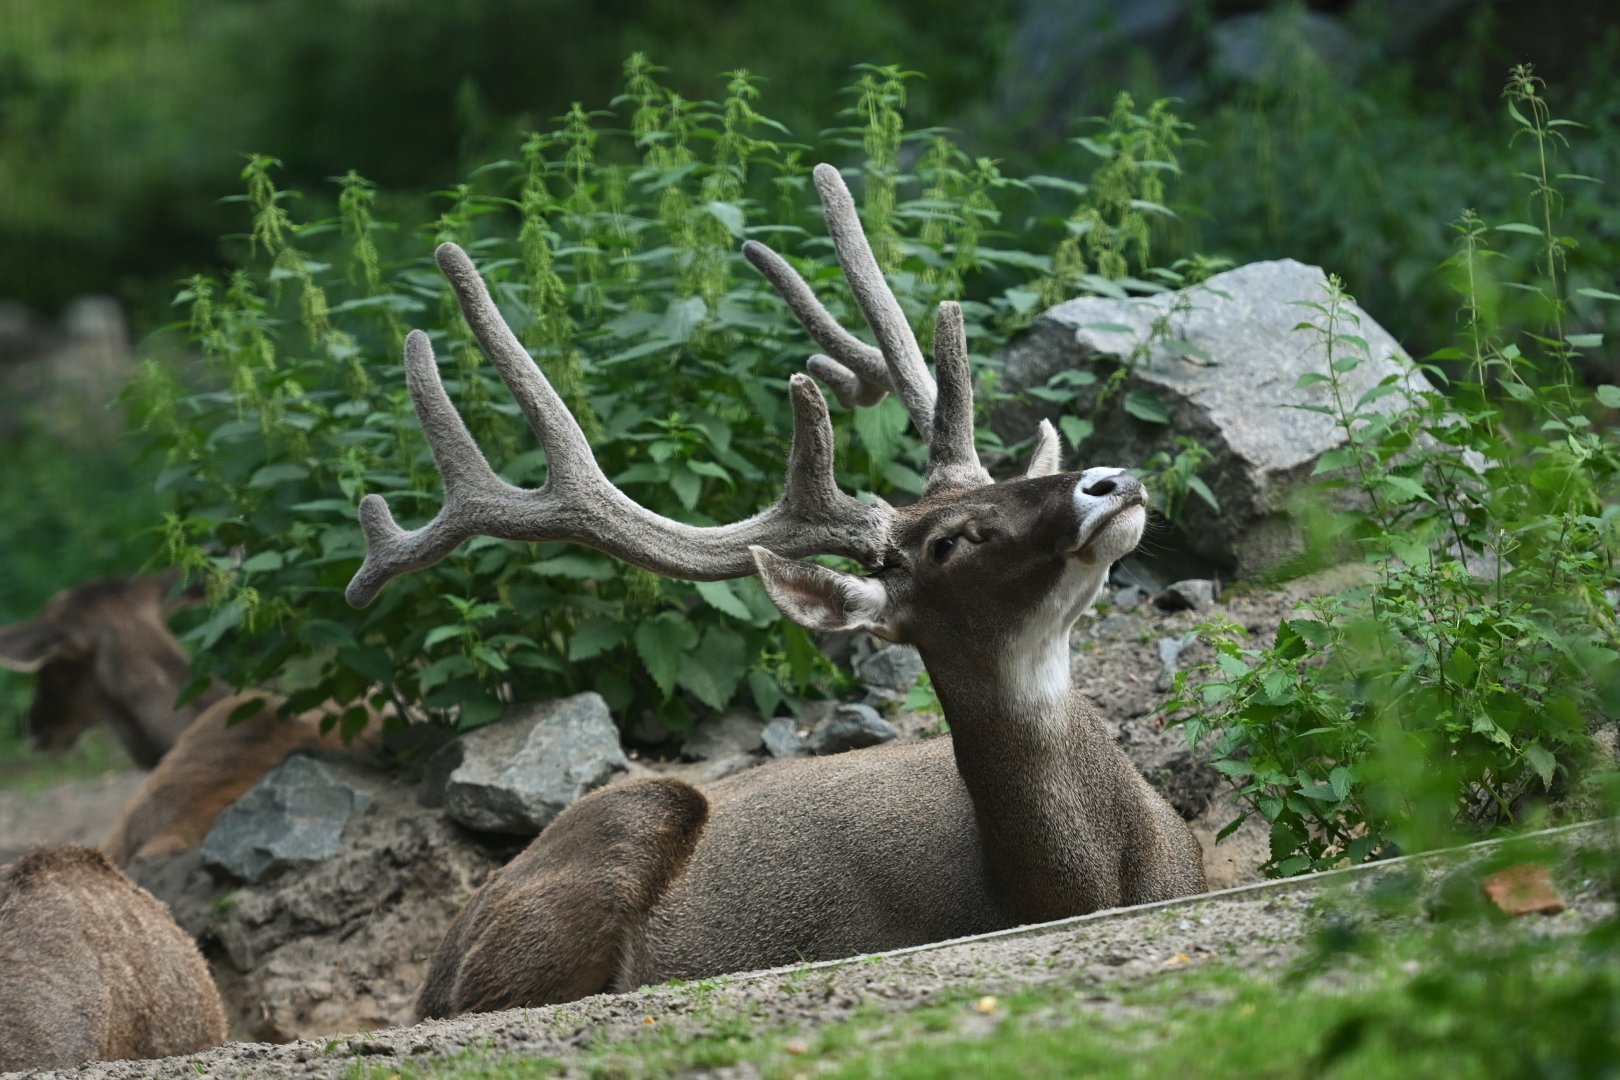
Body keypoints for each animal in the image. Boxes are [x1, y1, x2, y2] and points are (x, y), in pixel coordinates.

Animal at [340, 163, 1206, 1019]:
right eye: (947, 542)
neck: (1073, 886)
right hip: (627, 815)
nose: (1109, 480)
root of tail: (435, 965)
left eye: (1003, 479)